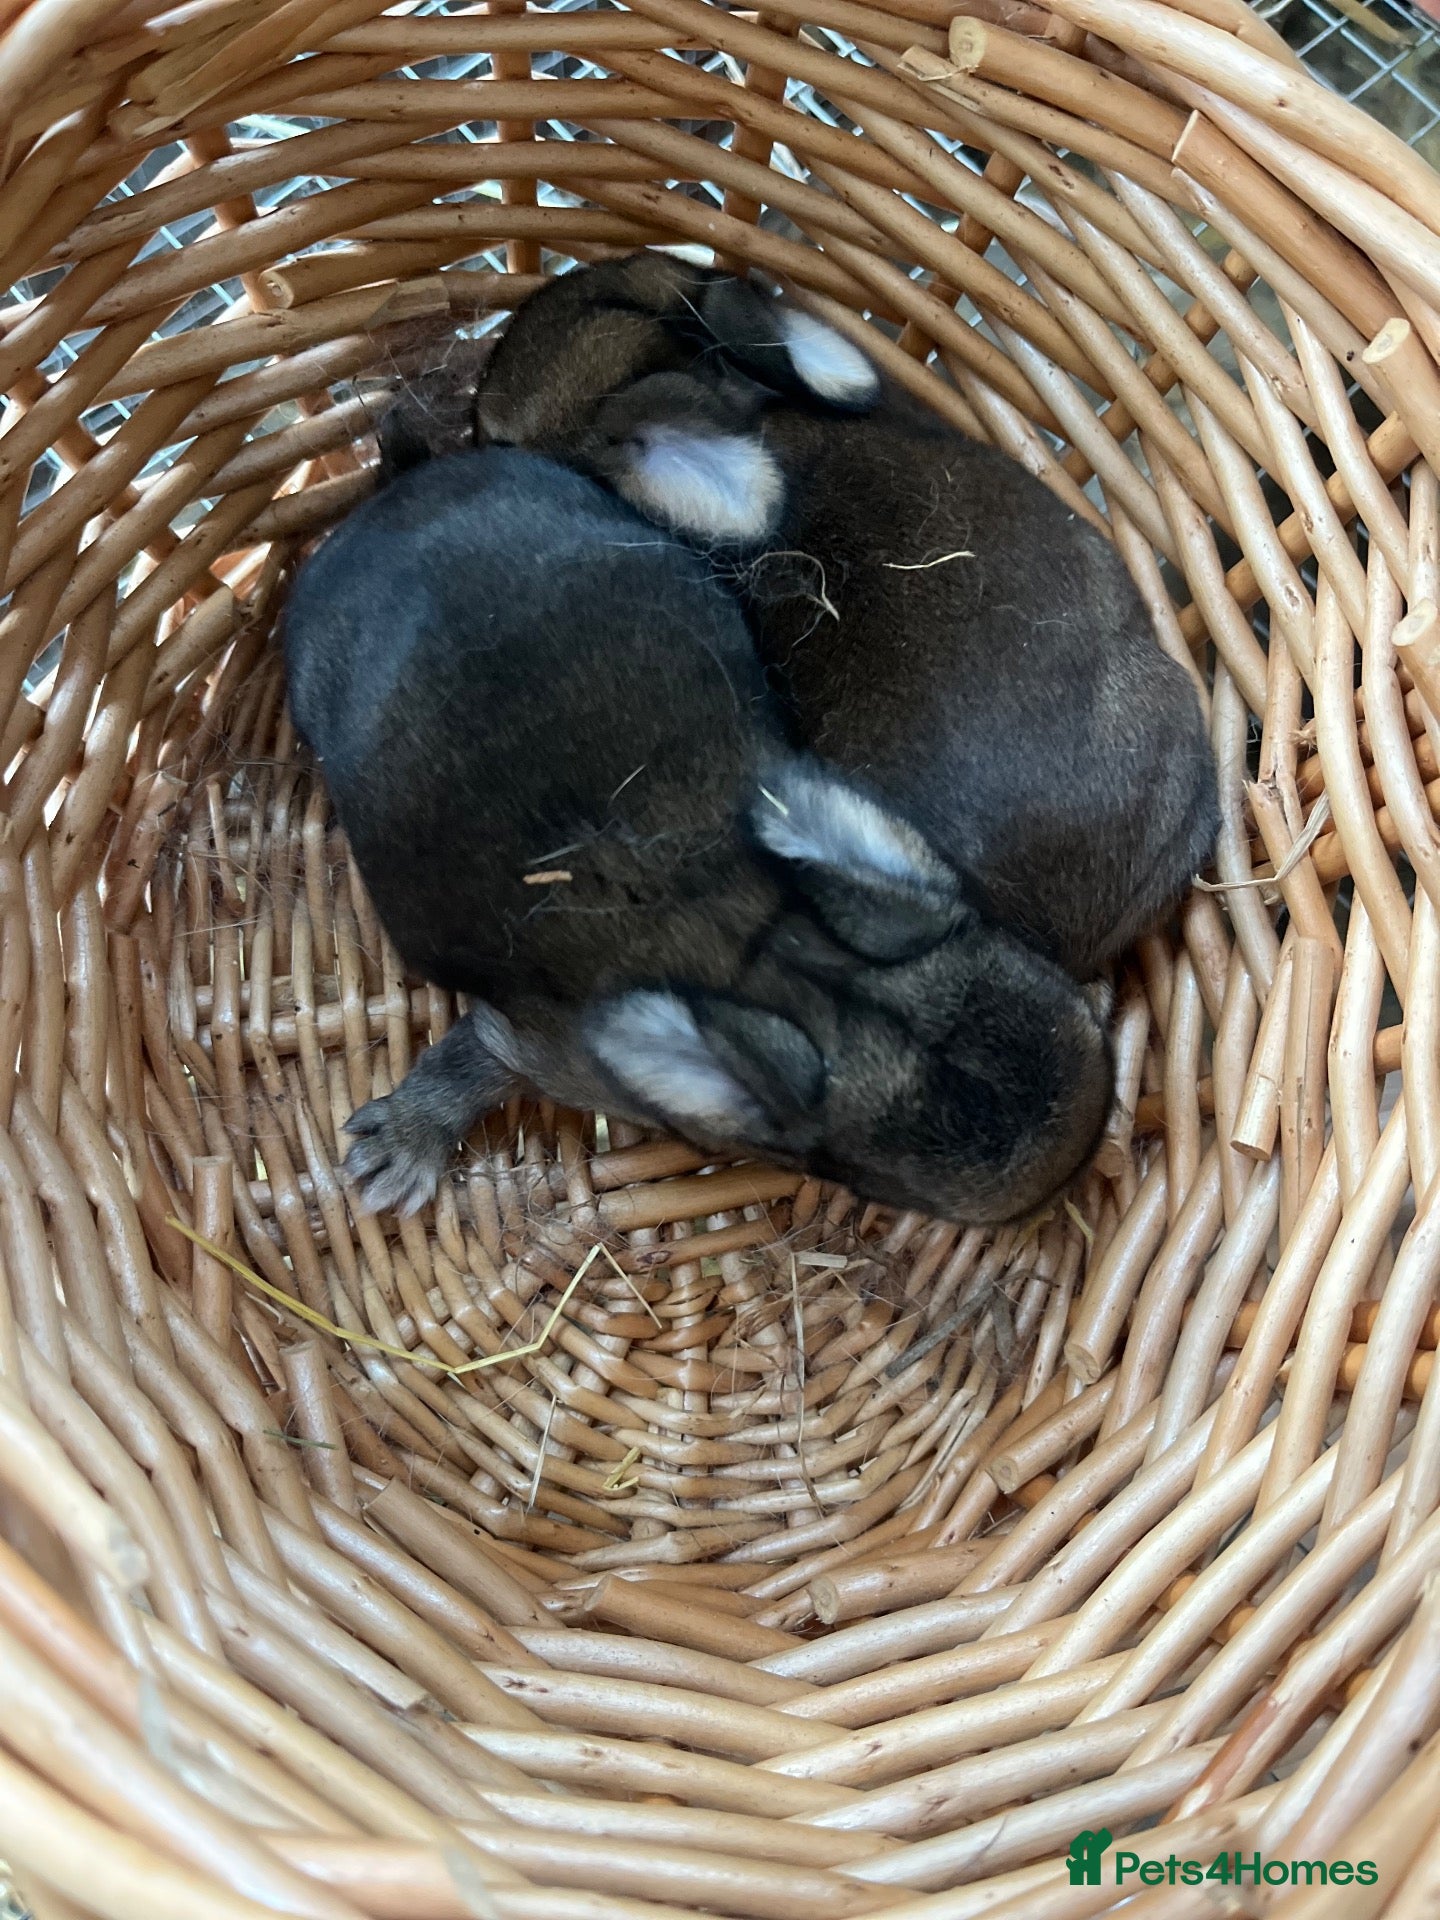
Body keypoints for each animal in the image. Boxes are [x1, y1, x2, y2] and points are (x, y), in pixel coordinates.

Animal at [282, 442, 1113, 1222]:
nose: (1096, 1121)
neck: (765, 950)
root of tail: (379, 509)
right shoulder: (538, 1046)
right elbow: (476, 1059)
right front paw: (397, 1153)